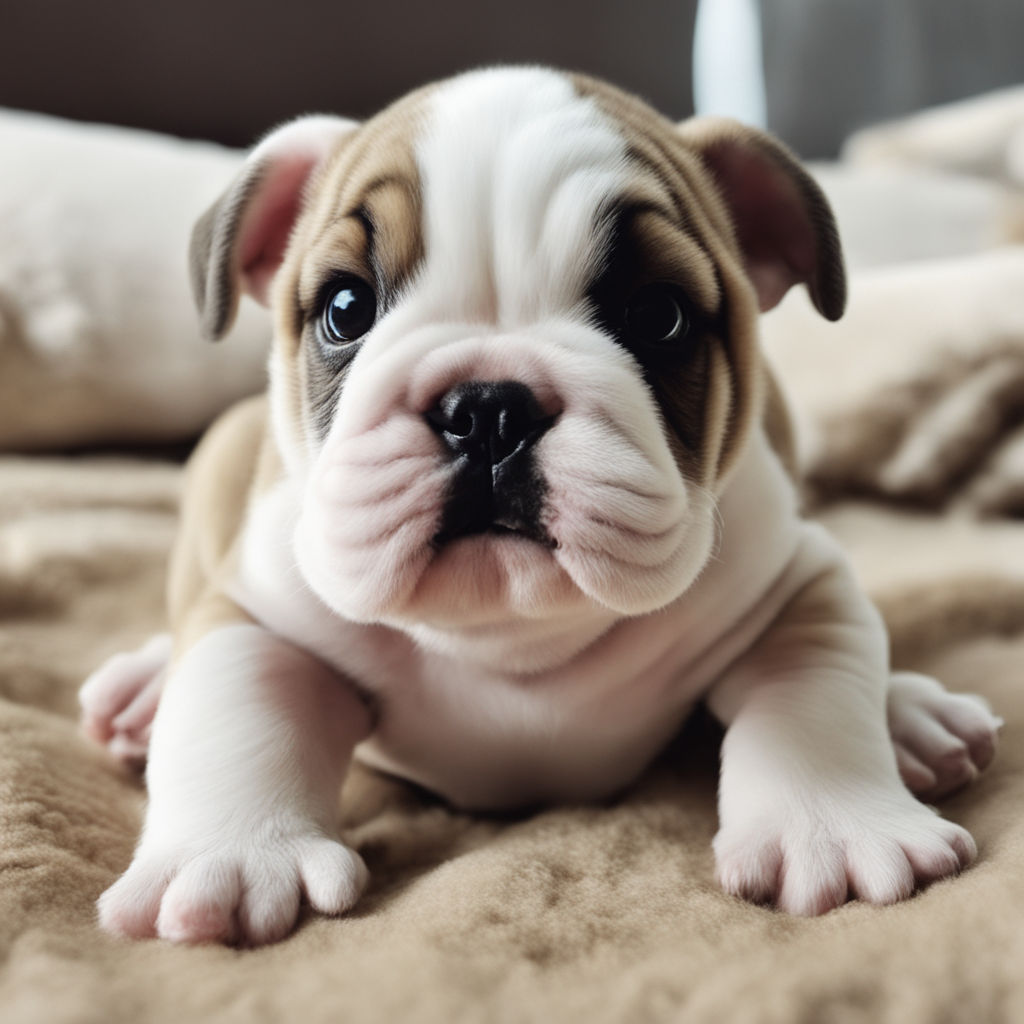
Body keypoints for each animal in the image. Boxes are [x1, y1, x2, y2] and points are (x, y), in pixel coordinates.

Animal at [77, 66, 999, 942]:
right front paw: (228, 858)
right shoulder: (263, 613)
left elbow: (814, 696)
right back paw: (143, 687)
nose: (489, 408)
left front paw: (833, 827)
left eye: (658, 315)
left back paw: (918, 717)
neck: (508, 631)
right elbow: (237, 707)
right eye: (345, 308)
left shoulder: (795, 580)